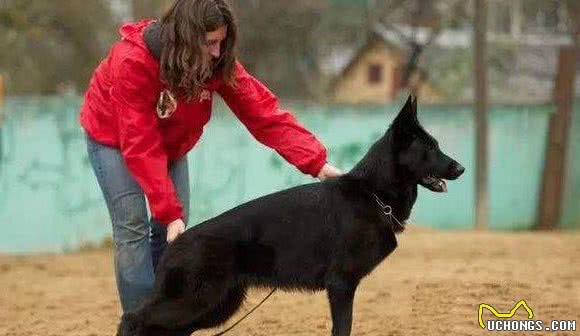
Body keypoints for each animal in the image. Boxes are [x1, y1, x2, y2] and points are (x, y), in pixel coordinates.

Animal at [119, 96, 466, 334]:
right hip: (196, 301)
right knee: (132, 318)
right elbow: (343, 327)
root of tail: (177, 241)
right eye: (431, 149)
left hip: (215, 305)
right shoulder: (341, 285)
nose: (461, 168)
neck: (373, 193)